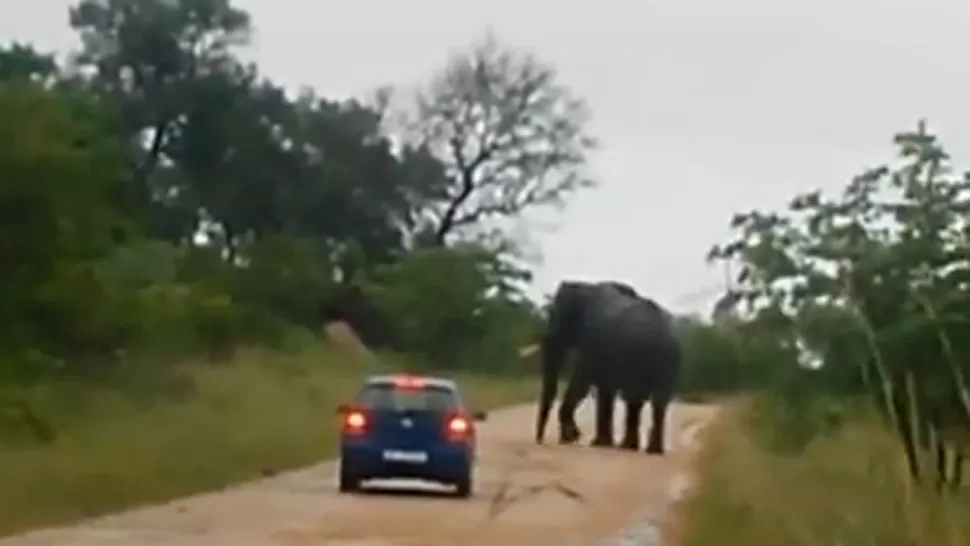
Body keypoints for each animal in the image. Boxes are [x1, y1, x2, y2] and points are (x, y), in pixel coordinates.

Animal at [532, 278, 676, 452]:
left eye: (556, 317)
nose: (540, 441)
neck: (586, 286)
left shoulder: (593, 339)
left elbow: (582, 382)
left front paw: (575, 438)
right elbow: (604, 388)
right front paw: (592, 441)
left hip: (640, 354)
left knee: (637, 398)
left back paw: (632, 447)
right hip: (666, 360)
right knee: (654, 401)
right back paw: (647, 450)